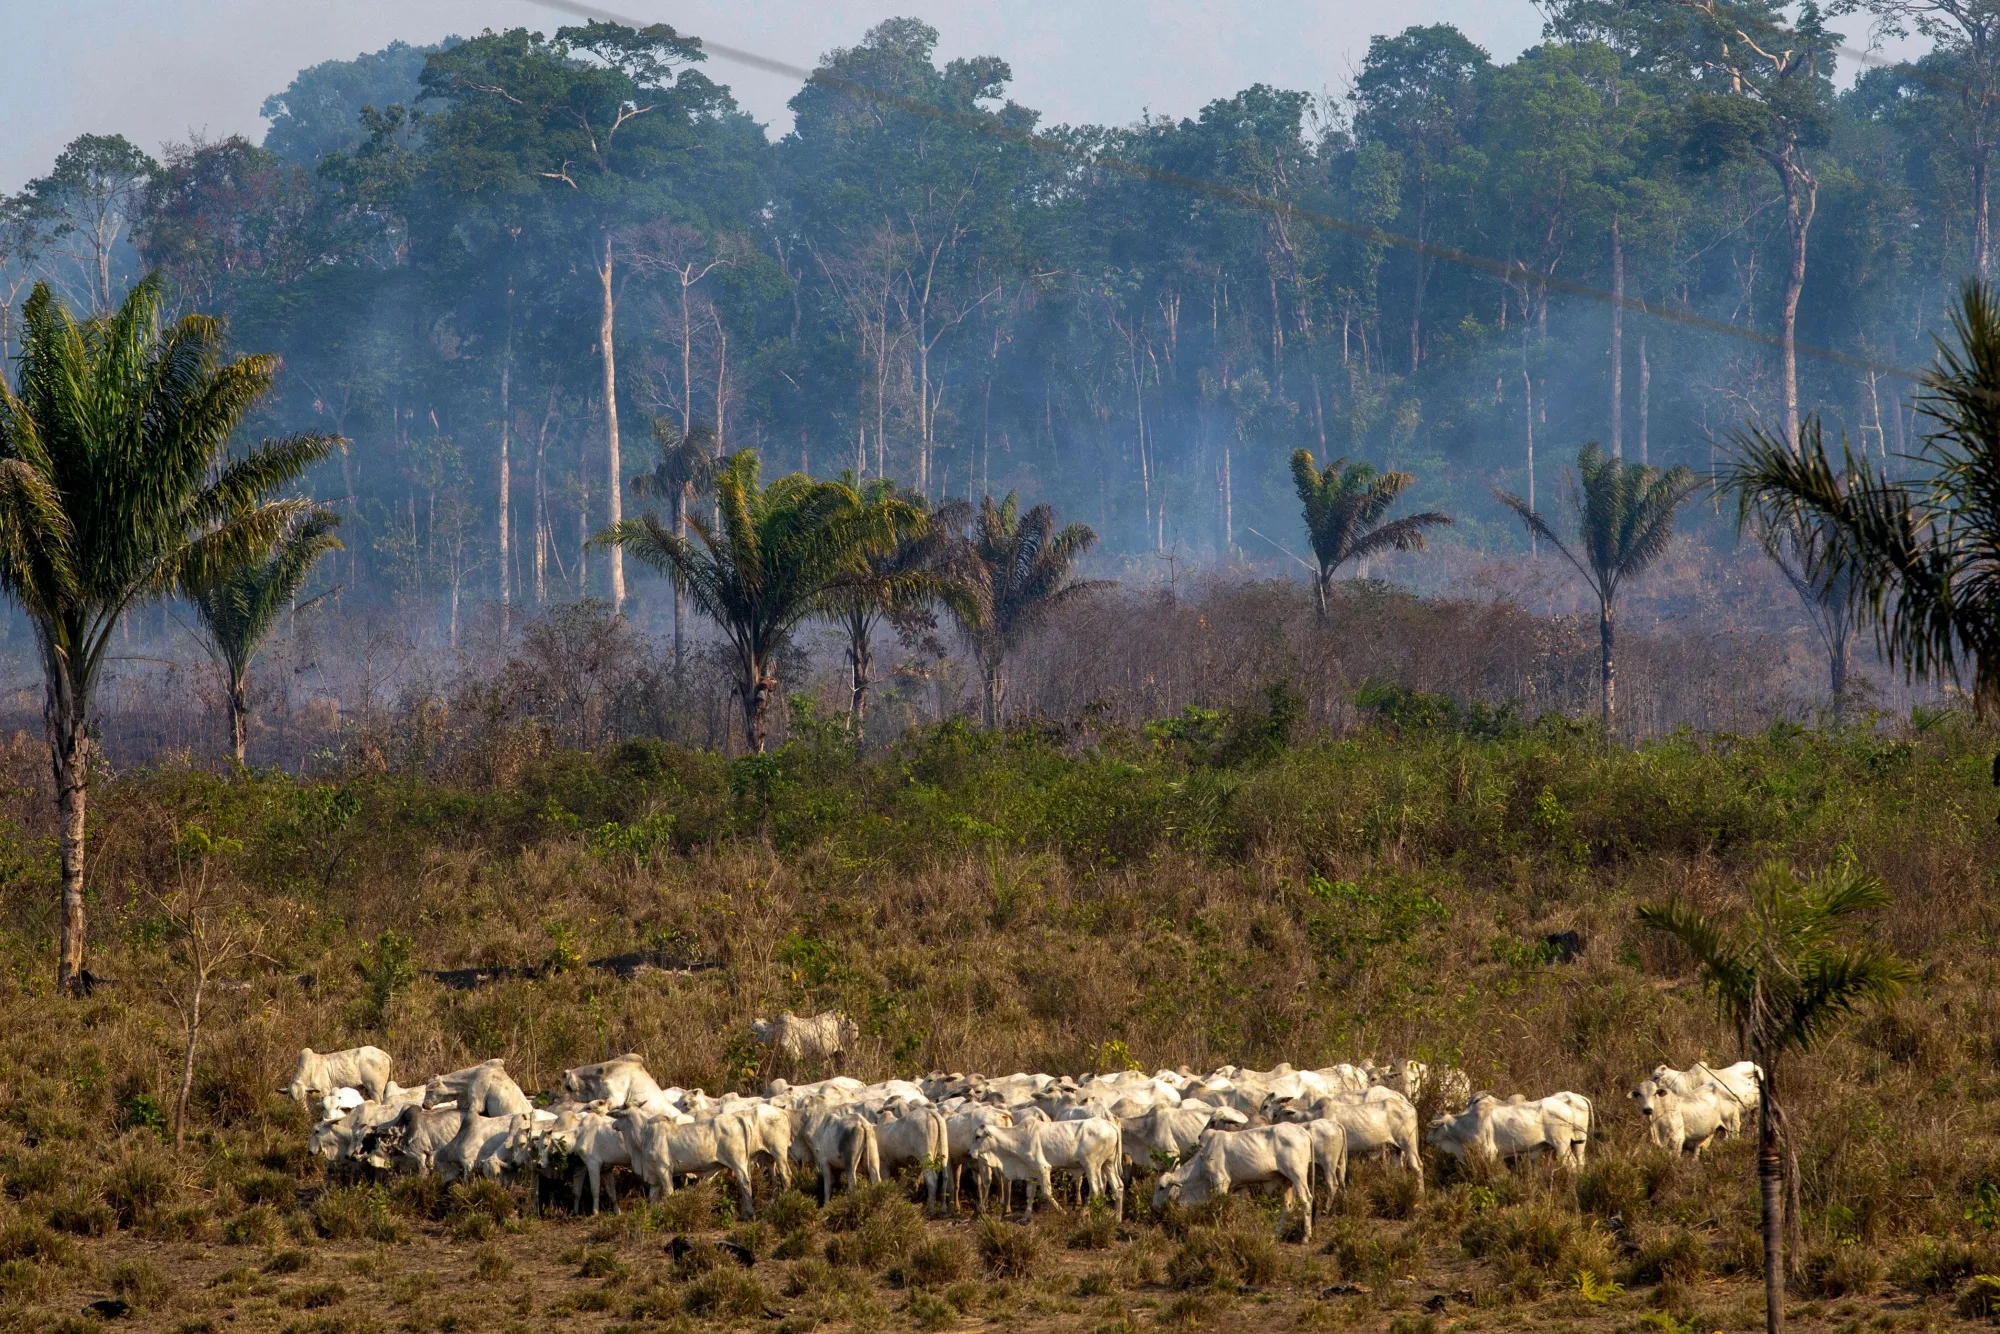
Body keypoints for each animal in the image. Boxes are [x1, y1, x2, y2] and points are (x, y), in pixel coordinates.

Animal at [1152, 1123, 1316, 1242]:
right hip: (1287, 1181)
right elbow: (1240, 1208)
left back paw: (1305, 1237)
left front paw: (1217, 1230)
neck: (1202, 1159)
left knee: (1306, 1199)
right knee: (1287, 1206)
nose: (1154, 1207)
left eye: (1161, 1188)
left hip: (1297, 1175)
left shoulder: (1221, 1182)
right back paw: (1276, 1234)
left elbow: (1219, 1207)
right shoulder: (1238, 1187)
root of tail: (1303, 1131)